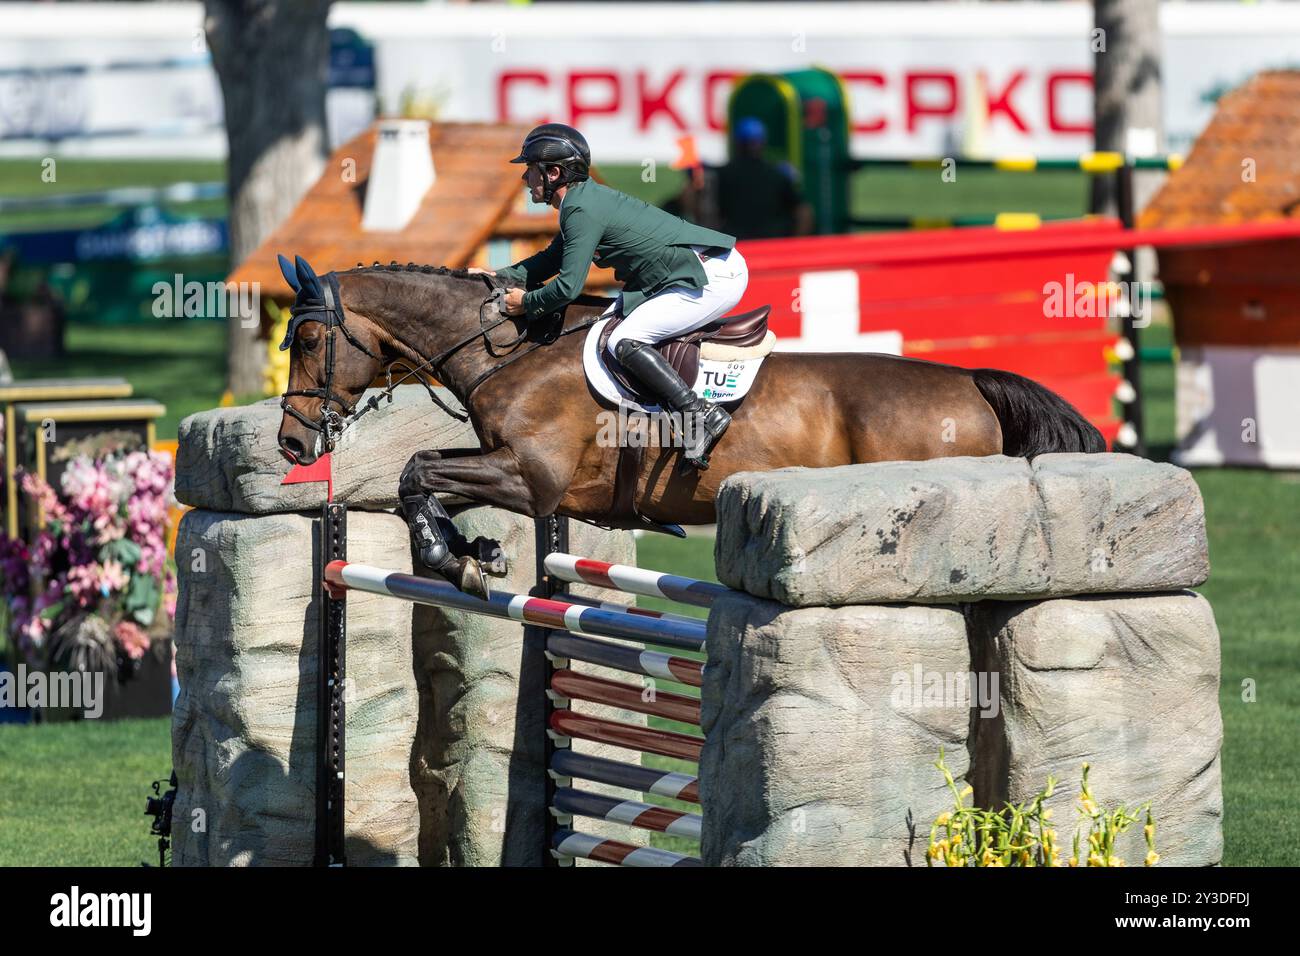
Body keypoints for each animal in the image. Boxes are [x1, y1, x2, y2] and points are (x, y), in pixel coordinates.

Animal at [279, 257, 1102, 590]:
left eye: (311, 340)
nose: (292, 441)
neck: (506, 350)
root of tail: (970, 382)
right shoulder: (513, 471)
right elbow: (422, 480)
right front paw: (473, 551)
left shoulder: (533, 479)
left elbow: (416, 471)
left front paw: (455, 558)